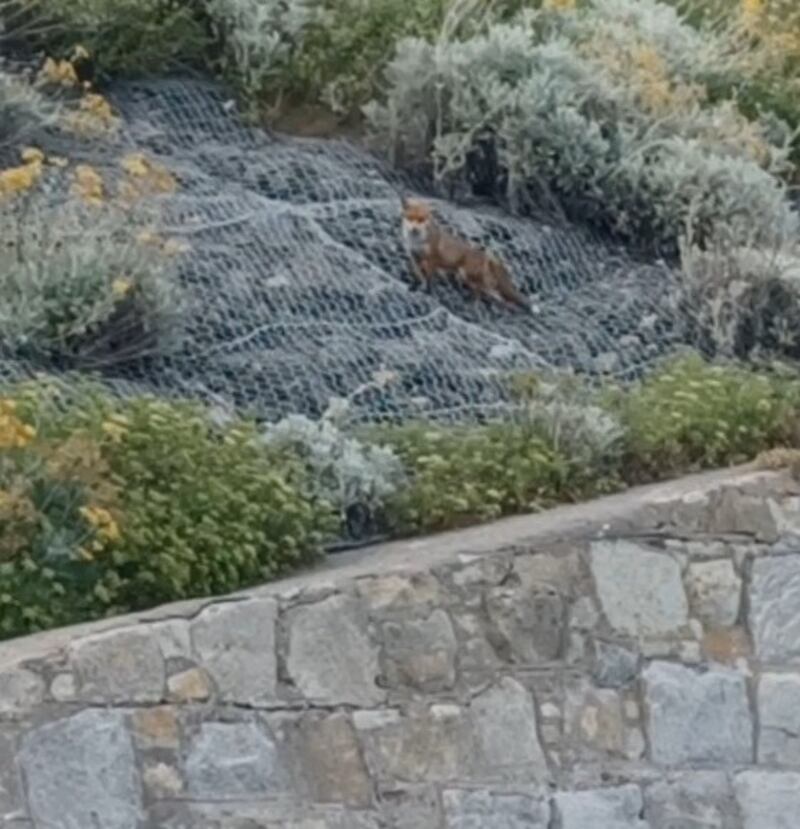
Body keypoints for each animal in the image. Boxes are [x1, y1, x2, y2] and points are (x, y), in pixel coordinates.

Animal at [401, 197, 530, 312]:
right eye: (410, 218)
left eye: (421, 219)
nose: (414, 229)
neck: (417, 242)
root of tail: (484, 254)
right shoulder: (414, 257)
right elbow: (419, 275)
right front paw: (418, 286)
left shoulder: (432, 259)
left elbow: (429, 279)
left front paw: (427, 290)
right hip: (469, 278)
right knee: (492, 292)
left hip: (466, 274)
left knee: (485, 291)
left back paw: (479, 305)